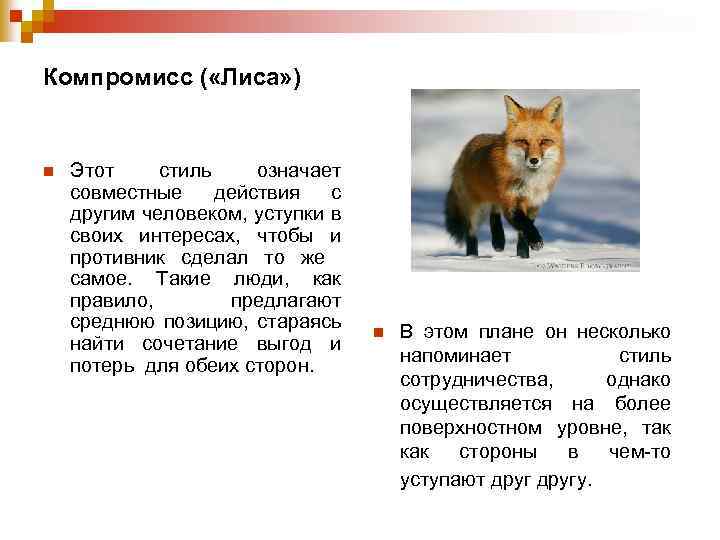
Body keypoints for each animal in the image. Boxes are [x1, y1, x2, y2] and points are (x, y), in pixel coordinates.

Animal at [445, 95, 565, 259]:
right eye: (523, 141)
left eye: (544, 141)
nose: (534, 160)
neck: (530, 182)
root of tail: (466, 148)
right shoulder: (511, 200)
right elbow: (524, 224)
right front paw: (535, 240)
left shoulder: (534, 203)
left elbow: (523, 233)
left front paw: (523, 257)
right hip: (474, 209)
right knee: (472, 234)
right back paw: (472, 257)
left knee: (494, 211)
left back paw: (498, 241)